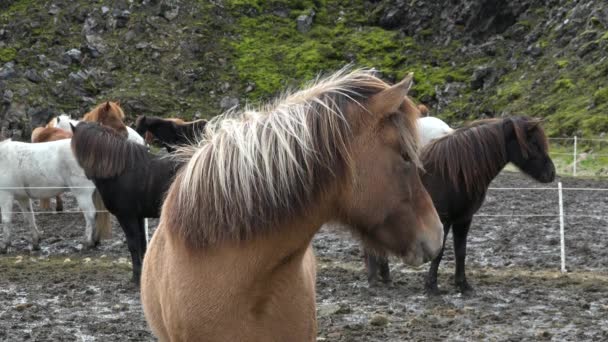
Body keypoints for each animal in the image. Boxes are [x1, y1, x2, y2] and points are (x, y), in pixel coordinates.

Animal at [70, 121, 182, 284]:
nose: (87, 174)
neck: (120, 170)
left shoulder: (126, 216)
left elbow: (133, 244)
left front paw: (136, 277)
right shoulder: (139, 216)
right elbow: (142, 243)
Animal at [366, 115, 556, 294]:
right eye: (534, 143)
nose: (551, 173)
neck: (453, 173)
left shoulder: (464, 218)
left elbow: (461, 251)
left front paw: (462, 284)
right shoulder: (443, 219)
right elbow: (440, 252)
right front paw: (432, 286)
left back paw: (382, 277)